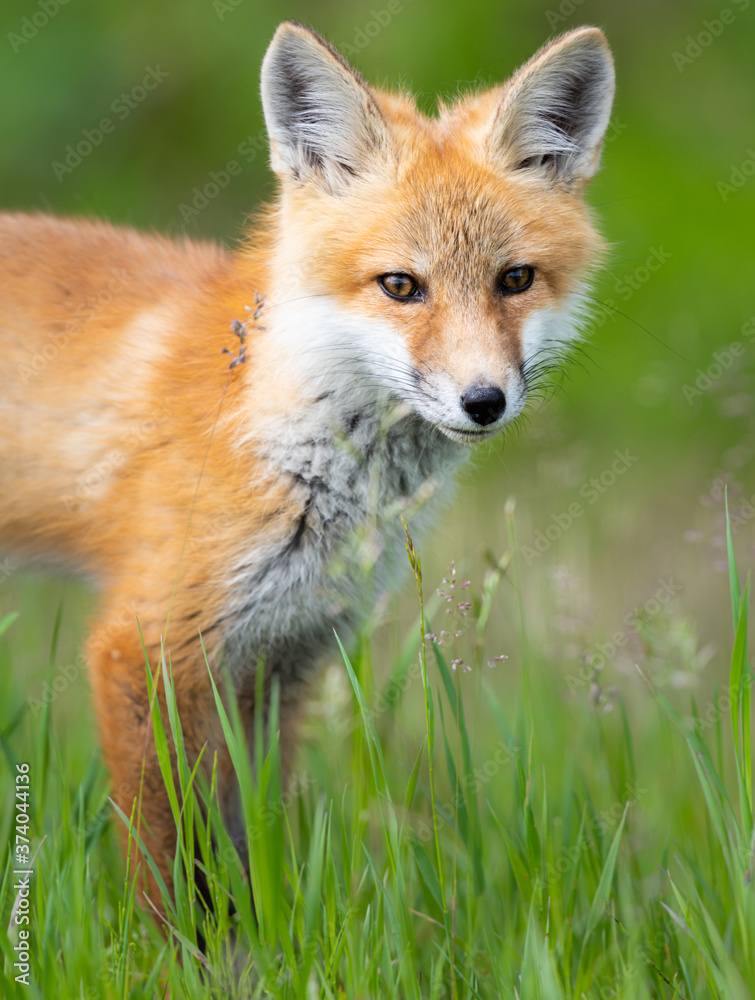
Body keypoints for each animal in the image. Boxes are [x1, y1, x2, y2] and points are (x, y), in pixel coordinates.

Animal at [0, 21, 614, 899]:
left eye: (515, 279)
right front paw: (177, 940)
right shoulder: (146, 647)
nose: (483, 401)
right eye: (400, 286)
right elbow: (168, 865)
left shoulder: (283, 657)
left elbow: (247, 846)